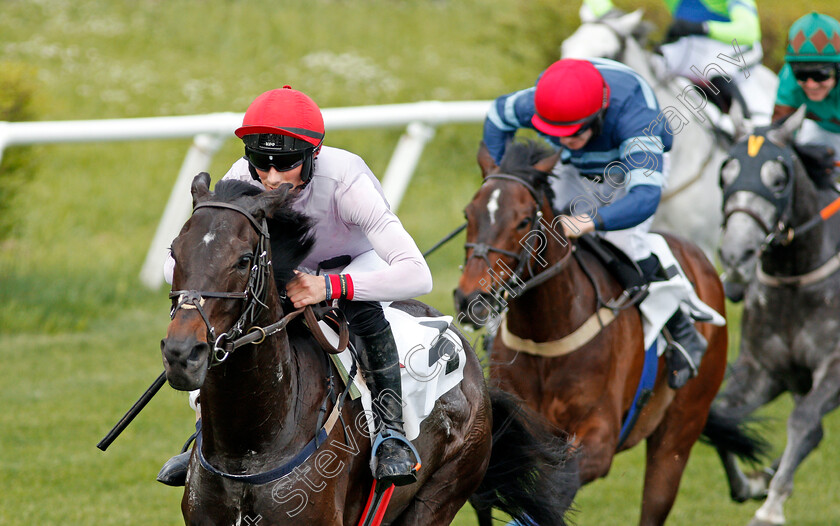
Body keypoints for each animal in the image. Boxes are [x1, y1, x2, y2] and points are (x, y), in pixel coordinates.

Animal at [456, 141, 764, 526]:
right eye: (469, 215)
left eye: (523, 220)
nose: (471, 297)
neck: (546, 336)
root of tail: (699, 258)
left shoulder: (597, 443)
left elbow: (551, 494)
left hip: (678, 433)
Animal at [712, 105, 840, 524]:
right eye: (725, 175)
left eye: (779, 180)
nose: (736, 256)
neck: (794, 277)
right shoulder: (764, 369)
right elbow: (723, 415)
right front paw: (750, 484)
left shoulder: (834, 366)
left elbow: (803, 421)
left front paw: (771, 507)